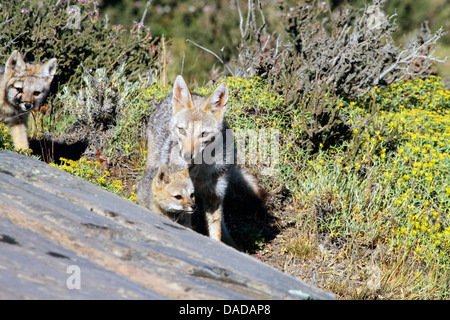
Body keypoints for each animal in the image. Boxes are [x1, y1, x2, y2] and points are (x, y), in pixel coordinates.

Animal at [141, 75, 268, 248]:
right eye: (182, 130)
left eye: (203, 134)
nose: (186, 155)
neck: (202, 171)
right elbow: (187, 222)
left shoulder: (214, 195)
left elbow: (216, 231)